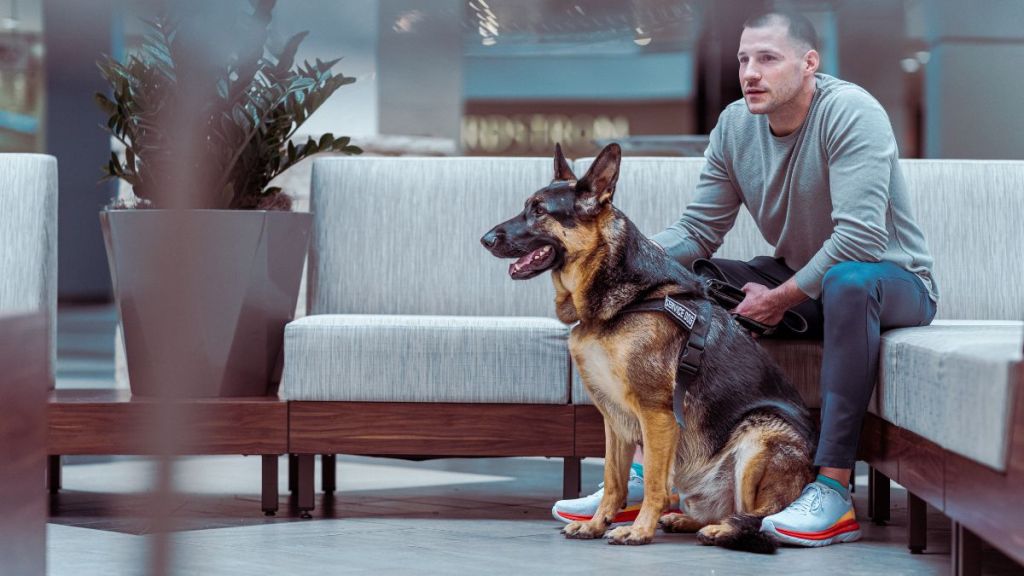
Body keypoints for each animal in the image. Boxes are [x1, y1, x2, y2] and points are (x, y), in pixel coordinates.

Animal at [481, 141, 815, 549]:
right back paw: (687, 520)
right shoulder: (614, 418)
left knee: (759, 515)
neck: (621, 300)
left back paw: (720, 529)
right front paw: (597, 523)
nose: (484, 239)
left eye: (540, 211)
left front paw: (639, 530)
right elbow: (614, 480)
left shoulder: (656, 414)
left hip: (760, 437)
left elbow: (655, 482)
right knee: (718, 507)